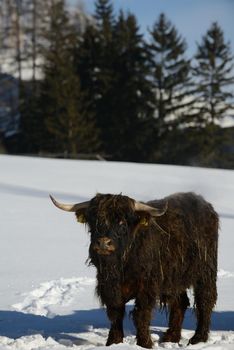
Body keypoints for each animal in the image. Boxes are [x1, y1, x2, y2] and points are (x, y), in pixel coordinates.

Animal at [50, 193, 218, 348]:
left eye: (122, 222)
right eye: (94, 221)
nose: (103, 243)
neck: (121, 267)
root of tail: (206, 205)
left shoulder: (146, 288)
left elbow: (141, 314)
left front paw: (144, 344)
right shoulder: (109, 287)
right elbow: (115, 313)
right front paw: (114, 342)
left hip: (205, 271)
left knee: (205, 300)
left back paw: (198, 339)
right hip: (174, 279)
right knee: (180, 302)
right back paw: (171, 337)